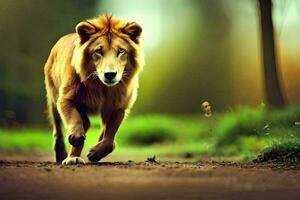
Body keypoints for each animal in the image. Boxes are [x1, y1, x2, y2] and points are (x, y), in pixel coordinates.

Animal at [43, 13, 144, 164]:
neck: (102, 87)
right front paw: (75, 144)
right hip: (53, 98)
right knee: (59, 130)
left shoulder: (119, 107)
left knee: (92, 125)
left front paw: (95, 153)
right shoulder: (65, 99)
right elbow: (74, 119)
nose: (110, 74)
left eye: (121, 51)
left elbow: (109, 139)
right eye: (99, 51)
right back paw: (66, 155)